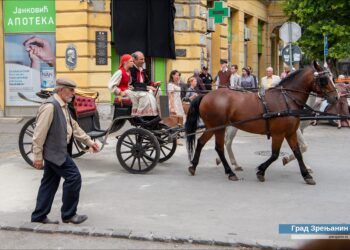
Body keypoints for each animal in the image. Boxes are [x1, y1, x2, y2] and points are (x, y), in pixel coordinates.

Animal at [186, 61, 340, 185]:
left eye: (331, 78)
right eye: (324, 79)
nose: (336, 97)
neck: (286, 99)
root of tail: (206, 95)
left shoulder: (290, 133)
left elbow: (297, 152)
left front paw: (306, 175)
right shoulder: (279, 134)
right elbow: (275, 154)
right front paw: (261, 170)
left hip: (213, 127)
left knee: (202, 142)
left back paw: (194, 166)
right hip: (218, 128)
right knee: (220, 147)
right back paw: (230, 171)